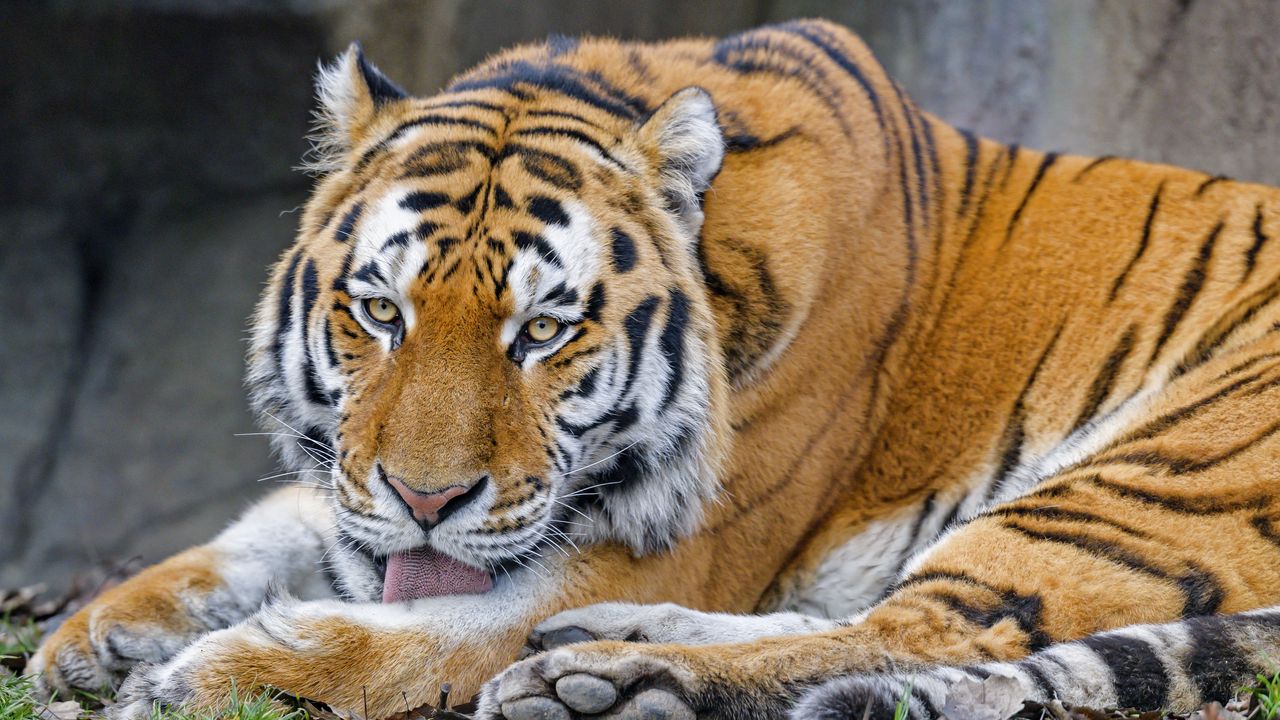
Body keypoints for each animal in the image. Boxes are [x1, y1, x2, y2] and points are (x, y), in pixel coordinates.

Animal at [27, 18, 1280, 720]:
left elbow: (440, 629)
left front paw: (199, 675)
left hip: (1157, 472)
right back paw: (609, 645)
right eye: (380, 312)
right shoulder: (360, 485)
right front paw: (94, 634)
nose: (428, 500)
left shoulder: (663, 537)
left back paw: (614, 681)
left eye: (541, 332)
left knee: (937, 636)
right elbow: (280, 525)